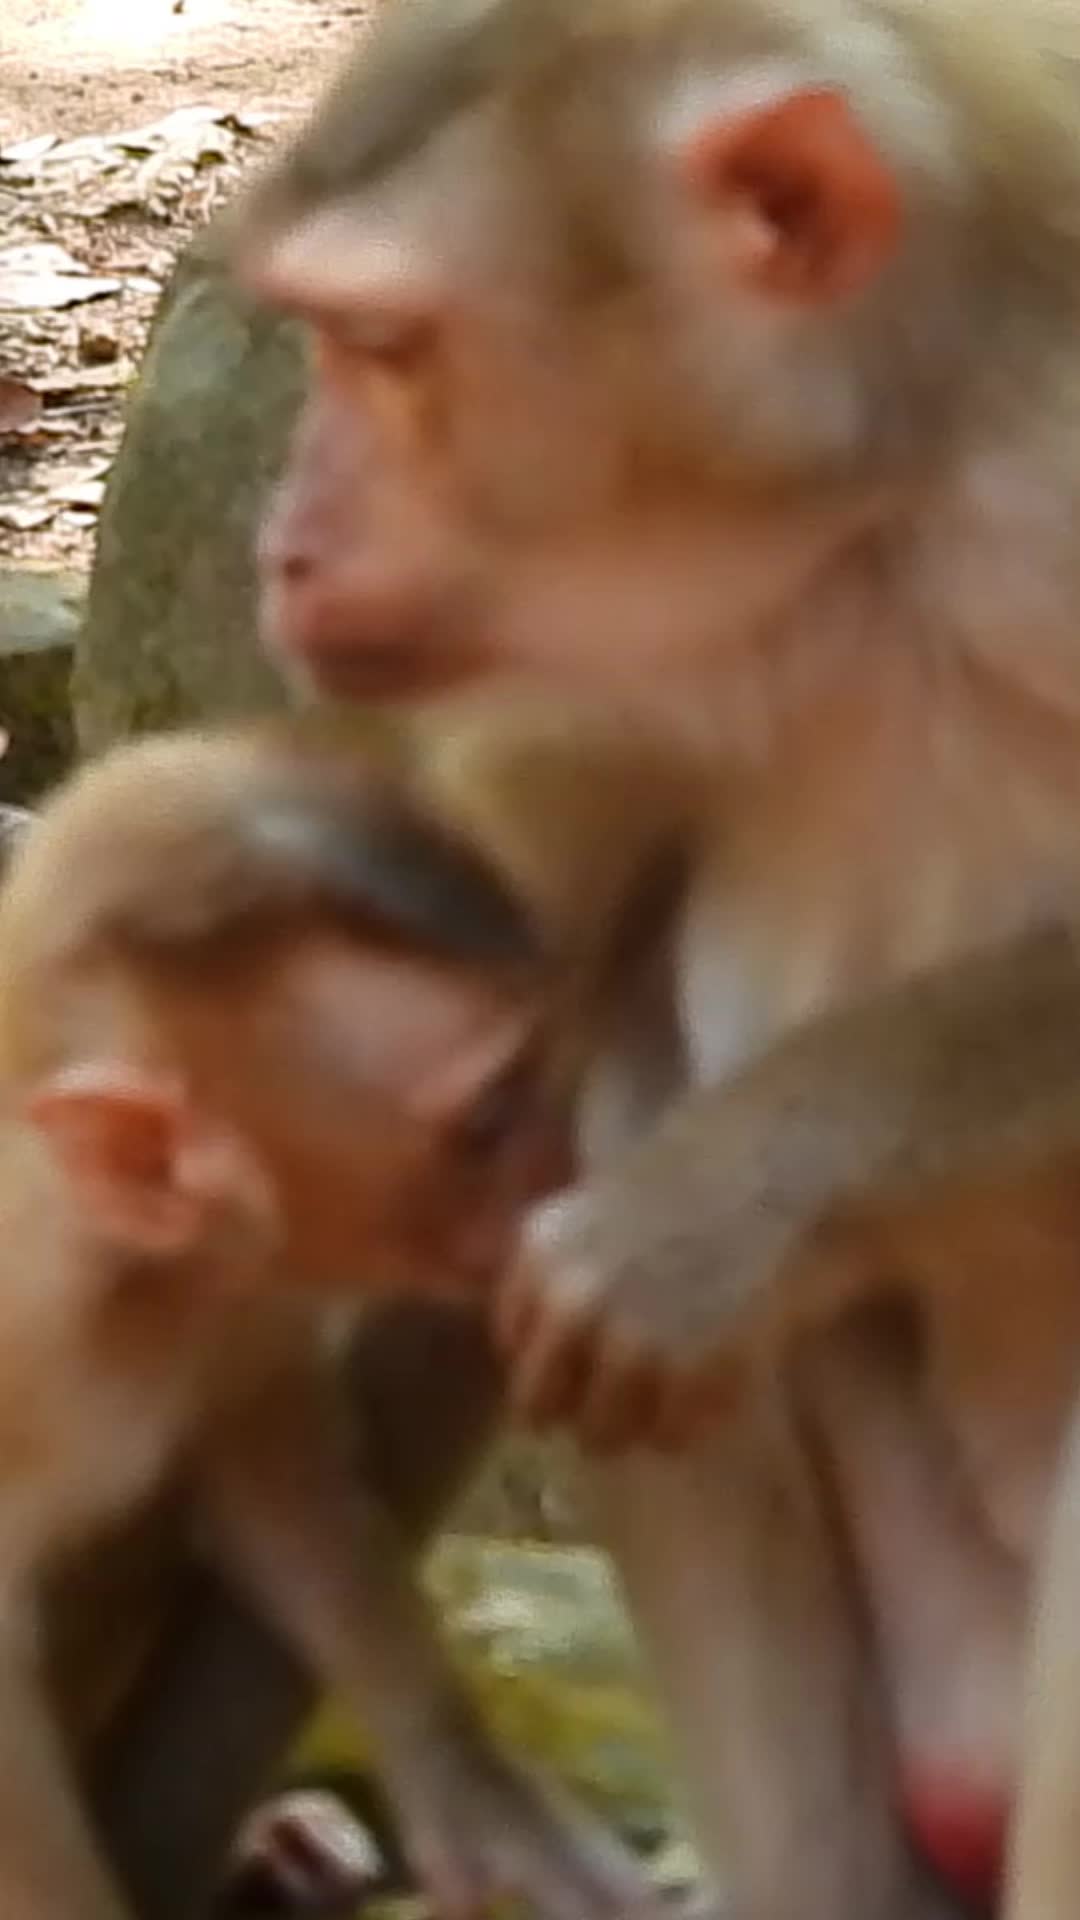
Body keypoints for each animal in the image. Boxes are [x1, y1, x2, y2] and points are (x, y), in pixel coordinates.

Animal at [0, 718, 680, 1920]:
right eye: (489, 1116)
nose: (577, 1163)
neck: (110, 1266)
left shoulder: (239, 1272)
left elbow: (261, 1441)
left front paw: (472, 1787)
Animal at [191, 0, 1080, 1911]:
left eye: (386, 349)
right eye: (331, 343)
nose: (282, 548)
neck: (897, 513)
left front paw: (730, 1195)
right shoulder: (570, 697)